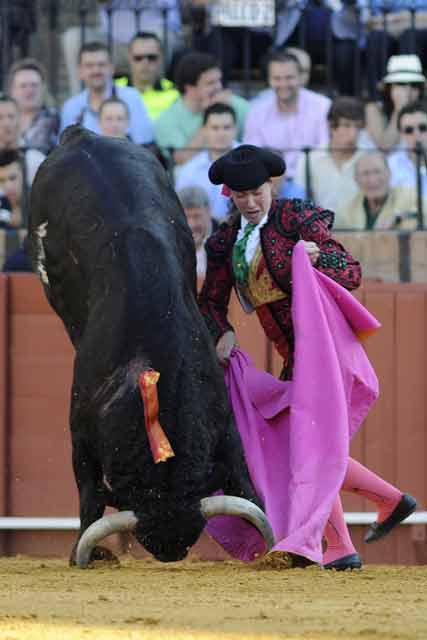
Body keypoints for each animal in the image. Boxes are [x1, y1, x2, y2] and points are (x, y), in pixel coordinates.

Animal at [28, 127, 272, 568]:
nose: (170, 550)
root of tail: (81, 135)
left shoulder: (225, 424)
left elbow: (245, 481)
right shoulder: (79, 432)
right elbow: (89, 496)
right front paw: (80, 552)